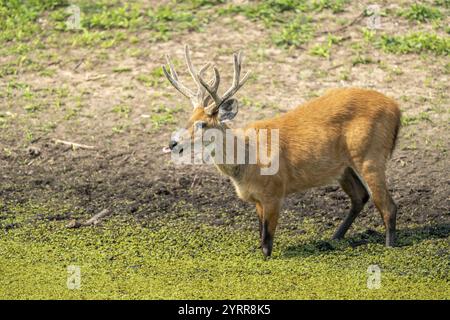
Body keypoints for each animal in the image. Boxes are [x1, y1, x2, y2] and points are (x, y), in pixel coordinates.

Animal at [162, 45, 400, 256]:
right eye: (189, 118)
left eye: (202, 124)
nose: (173, 143)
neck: (247, 161)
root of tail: (396, 109)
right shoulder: (258, 199)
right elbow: (261, 236)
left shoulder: (274, 192)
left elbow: (267, 242)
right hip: (343, 167)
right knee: (361, 197)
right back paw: (334, 238)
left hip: (370, 155)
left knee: (388, 206)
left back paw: (389, 248)